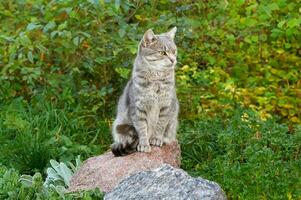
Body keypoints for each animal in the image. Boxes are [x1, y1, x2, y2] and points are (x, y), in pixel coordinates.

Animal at [110, 27, 178, 156]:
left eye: (174, 51)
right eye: (163, 53)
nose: (173, 60)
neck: (156, 79)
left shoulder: (166, 105)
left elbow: (161, 124)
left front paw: (156, 139)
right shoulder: (138, 108)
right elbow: (142, 128)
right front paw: (144, 144)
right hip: (119, 126)